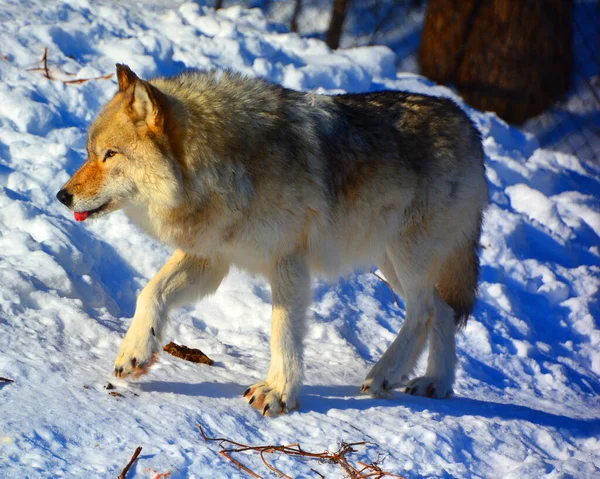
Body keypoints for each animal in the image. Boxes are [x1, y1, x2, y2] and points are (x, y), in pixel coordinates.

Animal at [55, 63, 488, 416]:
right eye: (89, 152)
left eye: (110, 155)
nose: (62, 196)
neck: (224, 167)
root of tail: (468, 124)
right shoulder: (211, 257)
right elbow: (151, 291)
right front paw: (135, 353)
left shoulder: (288, 262)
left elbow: (283, 332)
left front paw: (279, 394)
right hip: (390, 260)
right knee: (443, 309)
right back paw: (436, 383)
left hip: (405, 255)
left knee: (424, 311)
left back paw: (384, 374)